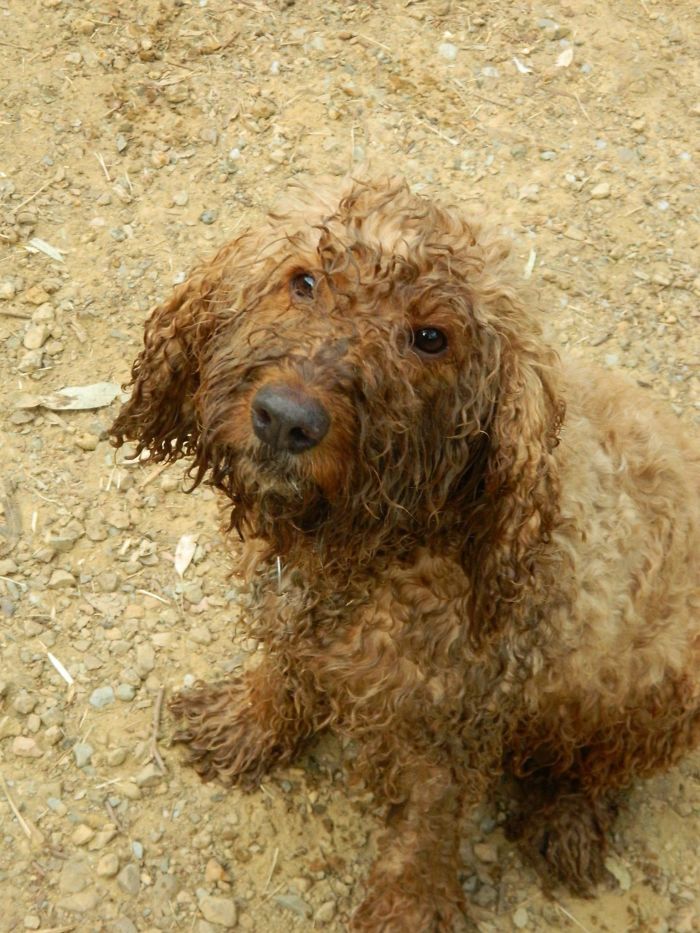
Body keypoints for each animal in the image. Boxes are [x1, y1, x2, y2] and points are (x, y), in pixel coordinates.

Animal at [110, 177, 700, 932]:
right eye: (304, 281)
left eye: (430, 338)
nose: (285, 419)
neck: (370, 550)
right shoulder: (299, 621)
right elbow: (284, 673)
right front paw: (243, 724)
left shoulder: (453, 715)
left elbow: (427, 816)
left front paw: (409, 906)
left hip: (652, 699)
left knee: (594, 768)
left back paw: (565, 822)